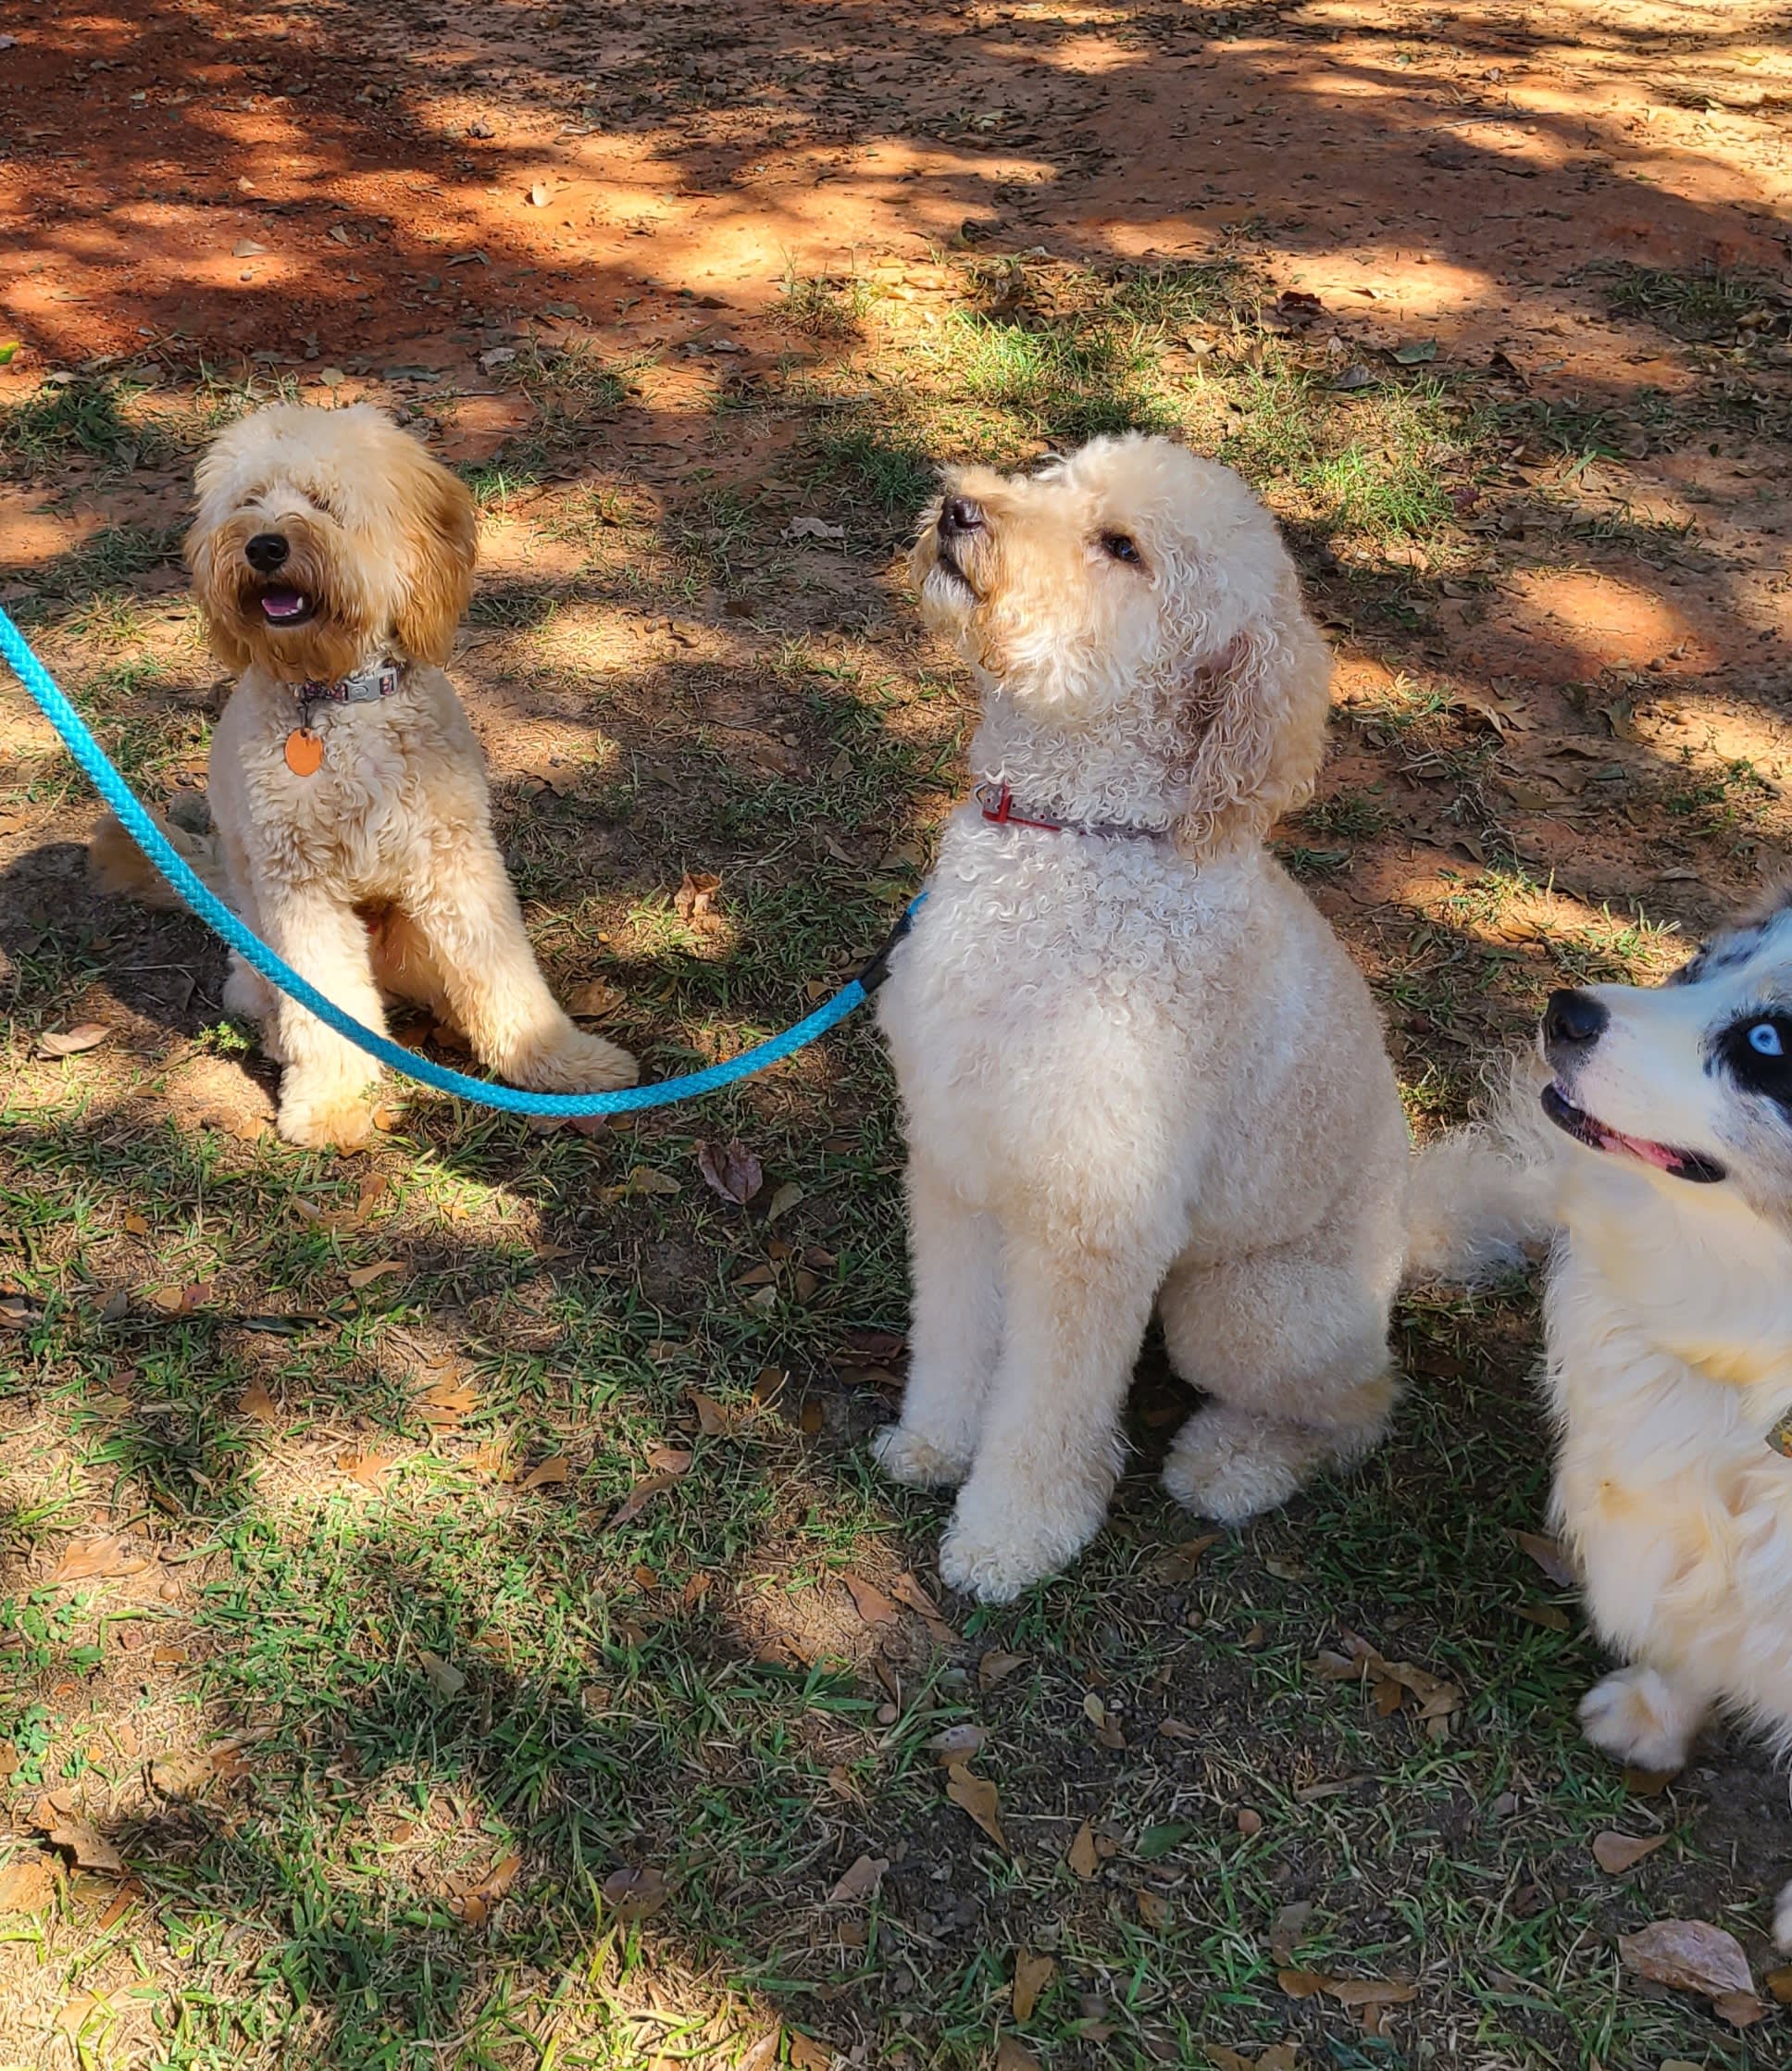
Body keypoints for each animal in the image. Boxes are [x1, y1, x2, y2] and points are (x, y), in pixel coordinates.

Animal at [96, 404, 638, 1151]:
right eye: (249, 501)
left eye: (323, 503)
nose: (264, 547)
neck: (336, 698)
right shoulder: (300, 886)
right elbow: (322, 1003)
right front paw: (329, 1103)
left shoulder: (457, 860)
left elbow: (504, 972)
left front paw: (559, 1060)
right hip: (257, 946)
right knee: (279, 1004)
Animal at [874, 432, 1516, 1598]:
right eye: (1057, 475)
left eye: (1122, 548)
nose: (958, 509)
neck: (1069, 838)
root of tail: (1403, 1232)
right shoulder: (956, 1163)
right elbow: (951, 1330)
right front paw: (936, 1443)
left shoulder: (1093, 1218)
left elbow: (1046, 1408)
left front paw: (1008, 1538)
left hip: (1241, 1312)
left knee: (1361, 1405)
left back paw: (1235, 1463)